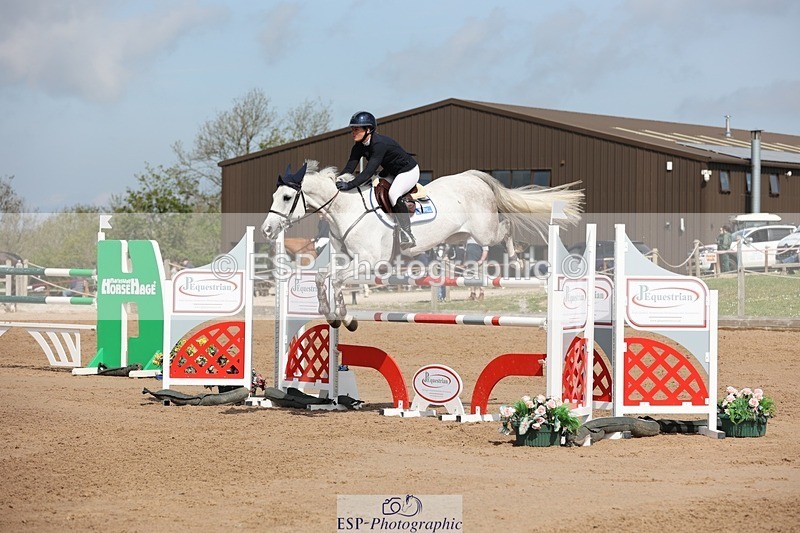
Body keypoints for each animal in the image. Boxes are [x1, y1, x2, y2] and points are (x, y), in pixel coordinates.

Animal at [261, 160, 583, 331]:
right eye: (275, 195)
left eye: (287, 197)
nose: (267, 229)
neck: (346, 208)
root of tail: (474, 178)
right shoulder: (345, 260)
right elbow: (323, 277)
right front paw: (337, 316)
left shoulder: (369, 262)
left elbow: (336, 280)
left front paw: (342, 316)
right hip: (458, 236)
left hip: (485, 232)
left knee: (506, 229)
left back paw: (518, 260)